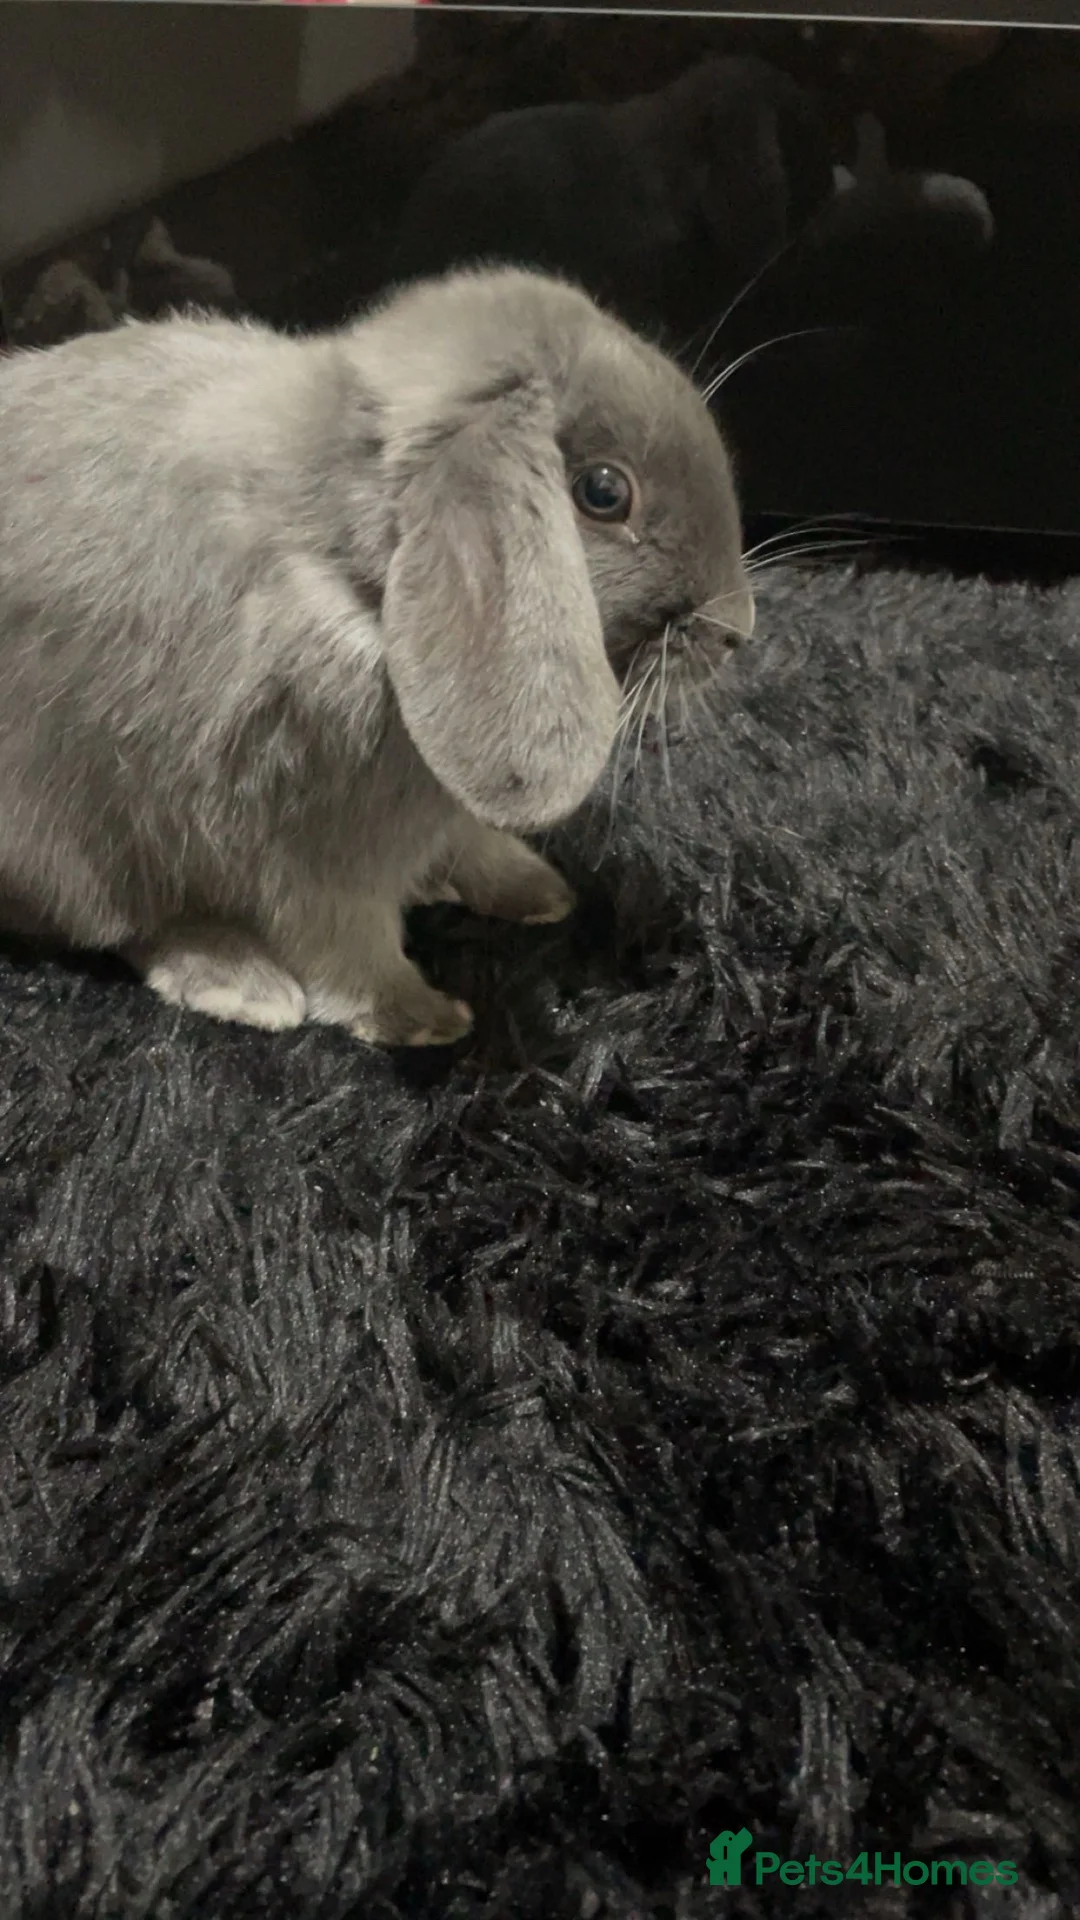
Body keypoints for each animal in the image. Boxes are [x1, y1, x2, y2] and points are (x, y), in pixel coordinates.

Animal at [0, 266, 754, 1047]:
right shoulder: (311, 844)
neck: (358, 574)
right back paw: (241, 983)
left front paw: (539, 892)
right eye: (604, 492)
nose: (737, 629)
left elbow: (472, 847)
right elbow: (347, 944)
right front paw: (421, 1019)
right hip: (73, 846)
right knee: (125, 924)